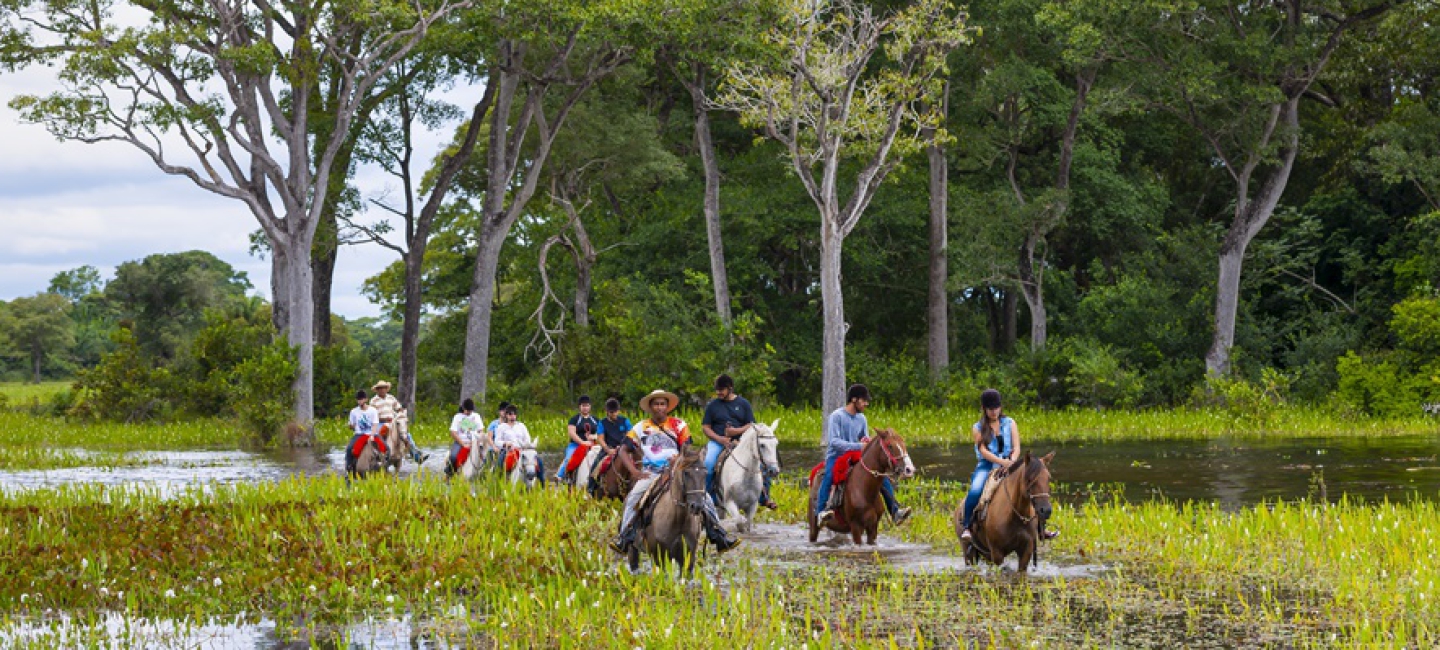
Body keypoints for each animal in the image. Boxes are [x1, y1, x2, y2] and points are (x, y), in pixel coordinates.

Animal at [630, 446, 708, 579]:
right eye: (686, 473)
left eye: (705, 473)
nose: (697, 506)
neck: (678, 519)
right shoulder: (659, 556)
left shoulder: (688, 558)